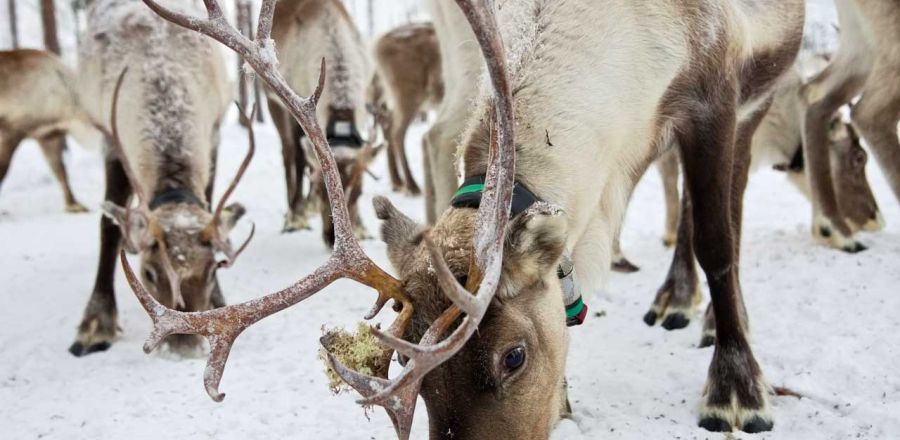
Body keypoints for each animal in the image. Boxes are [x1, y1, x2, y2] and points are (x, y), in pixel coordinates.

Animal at [68, 0, 253, 357]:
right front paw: (95, 324)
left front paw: (219, 301)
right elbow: (108, 228)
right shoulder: (110, 141)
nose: (185, 347)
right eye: (149, 273)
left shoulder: (214, 132)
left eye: (212, 271)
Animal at [266, 0, 374, 246]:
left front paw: (361, 227)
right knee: (289, 153)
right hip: (273, 104)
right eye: (318, 188)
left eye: (359, 191)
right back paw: (295, 212)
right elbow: (298, 158)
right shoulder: (293, 102)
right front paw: (295, 218)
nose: (332, 236)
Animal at [369, 22, 444, 196]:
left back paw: (397, 182)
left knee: (389, 124)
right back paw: (411, 185)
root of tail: (377, 46)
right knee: (396, 131)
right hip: (409, 94)